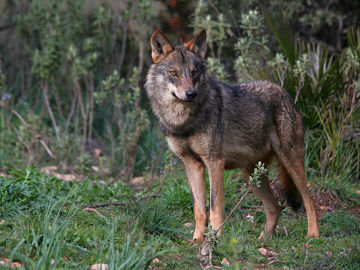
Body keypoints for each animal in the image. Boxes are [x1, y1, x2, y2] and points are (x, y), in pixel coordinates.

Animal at [145, 29, 320, 243]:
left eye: (194, 73)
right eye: (174, 73)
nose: (191, 93)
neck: (182, 122)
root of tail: (285, 92)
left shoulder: (214, 162)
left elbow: (214, 208)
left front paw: (214, 239)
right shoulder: (192, 165)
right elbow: (199, 209)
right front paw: (197, 240)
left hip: (290, 162)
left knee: (309, 201)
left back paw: (312, 235)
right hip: (252, 175)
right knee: (275, 208)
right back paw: (263, 240)